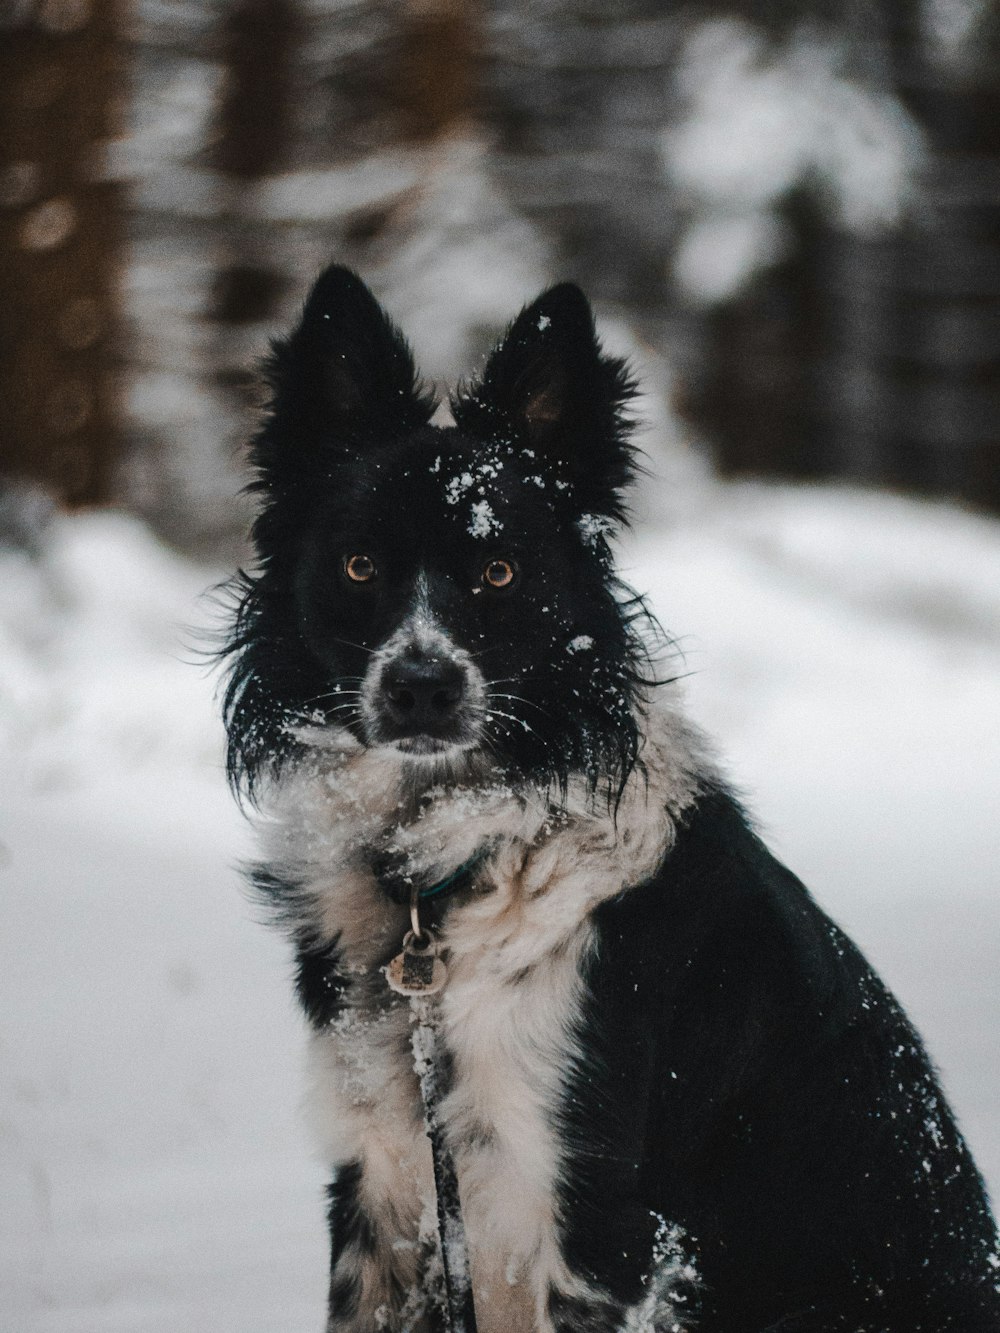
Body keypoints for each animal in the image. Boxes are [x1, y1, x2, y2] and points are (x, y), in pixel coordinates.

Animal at [221, 262, 1000, 1333]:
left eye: (499, 570)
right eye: (359, 565)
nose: (421, 686)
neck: (453, 872)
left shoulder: (593, 1209)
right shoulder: (380, 1182)